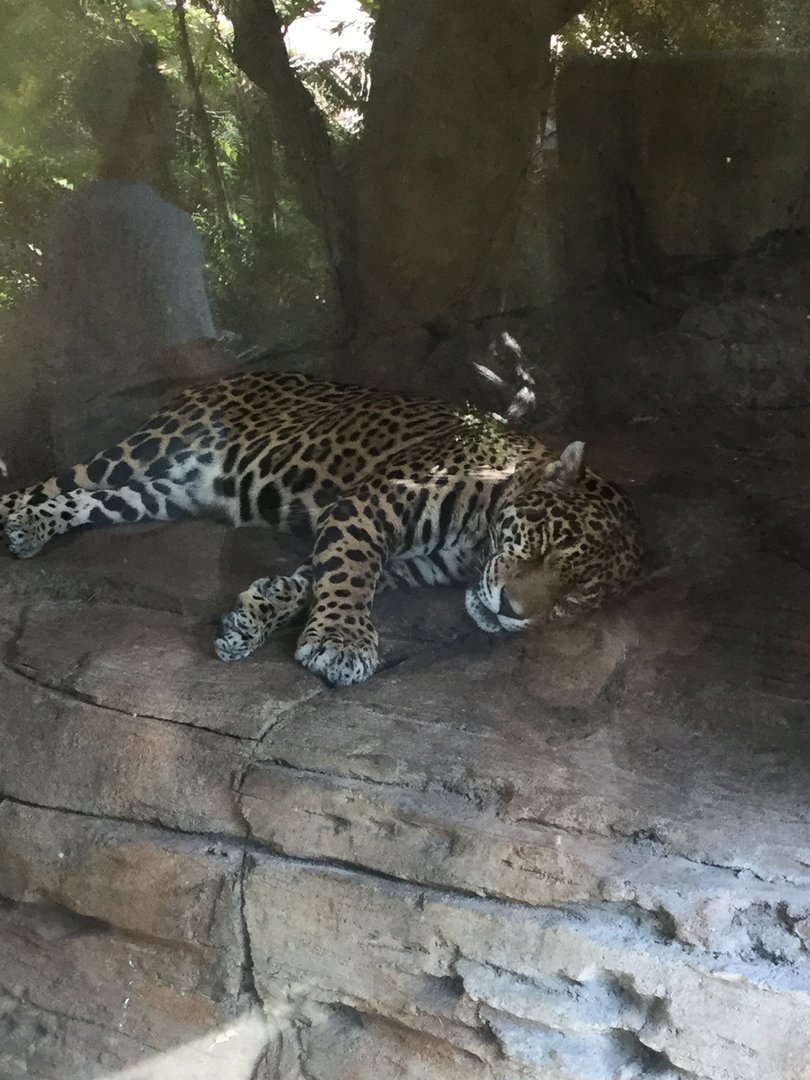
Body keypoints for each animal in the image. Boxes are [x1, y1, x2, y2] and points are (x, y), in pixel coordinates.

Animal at [0, 371, 646, 685]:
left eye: (576, 598)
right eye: (546, 544)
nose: (512, 611)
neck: (475, 542)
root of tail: (217, 379)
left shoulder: (408, 564)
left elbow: (316, 578)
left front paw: (253, 616)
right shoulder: (370, 506)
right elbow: (351, 574)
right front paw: (341, 643)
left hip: (167, 492)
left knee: (95, 500)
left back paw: (33, 525)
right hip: (147, 449)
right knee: (61, 480)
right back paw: (15, 518)